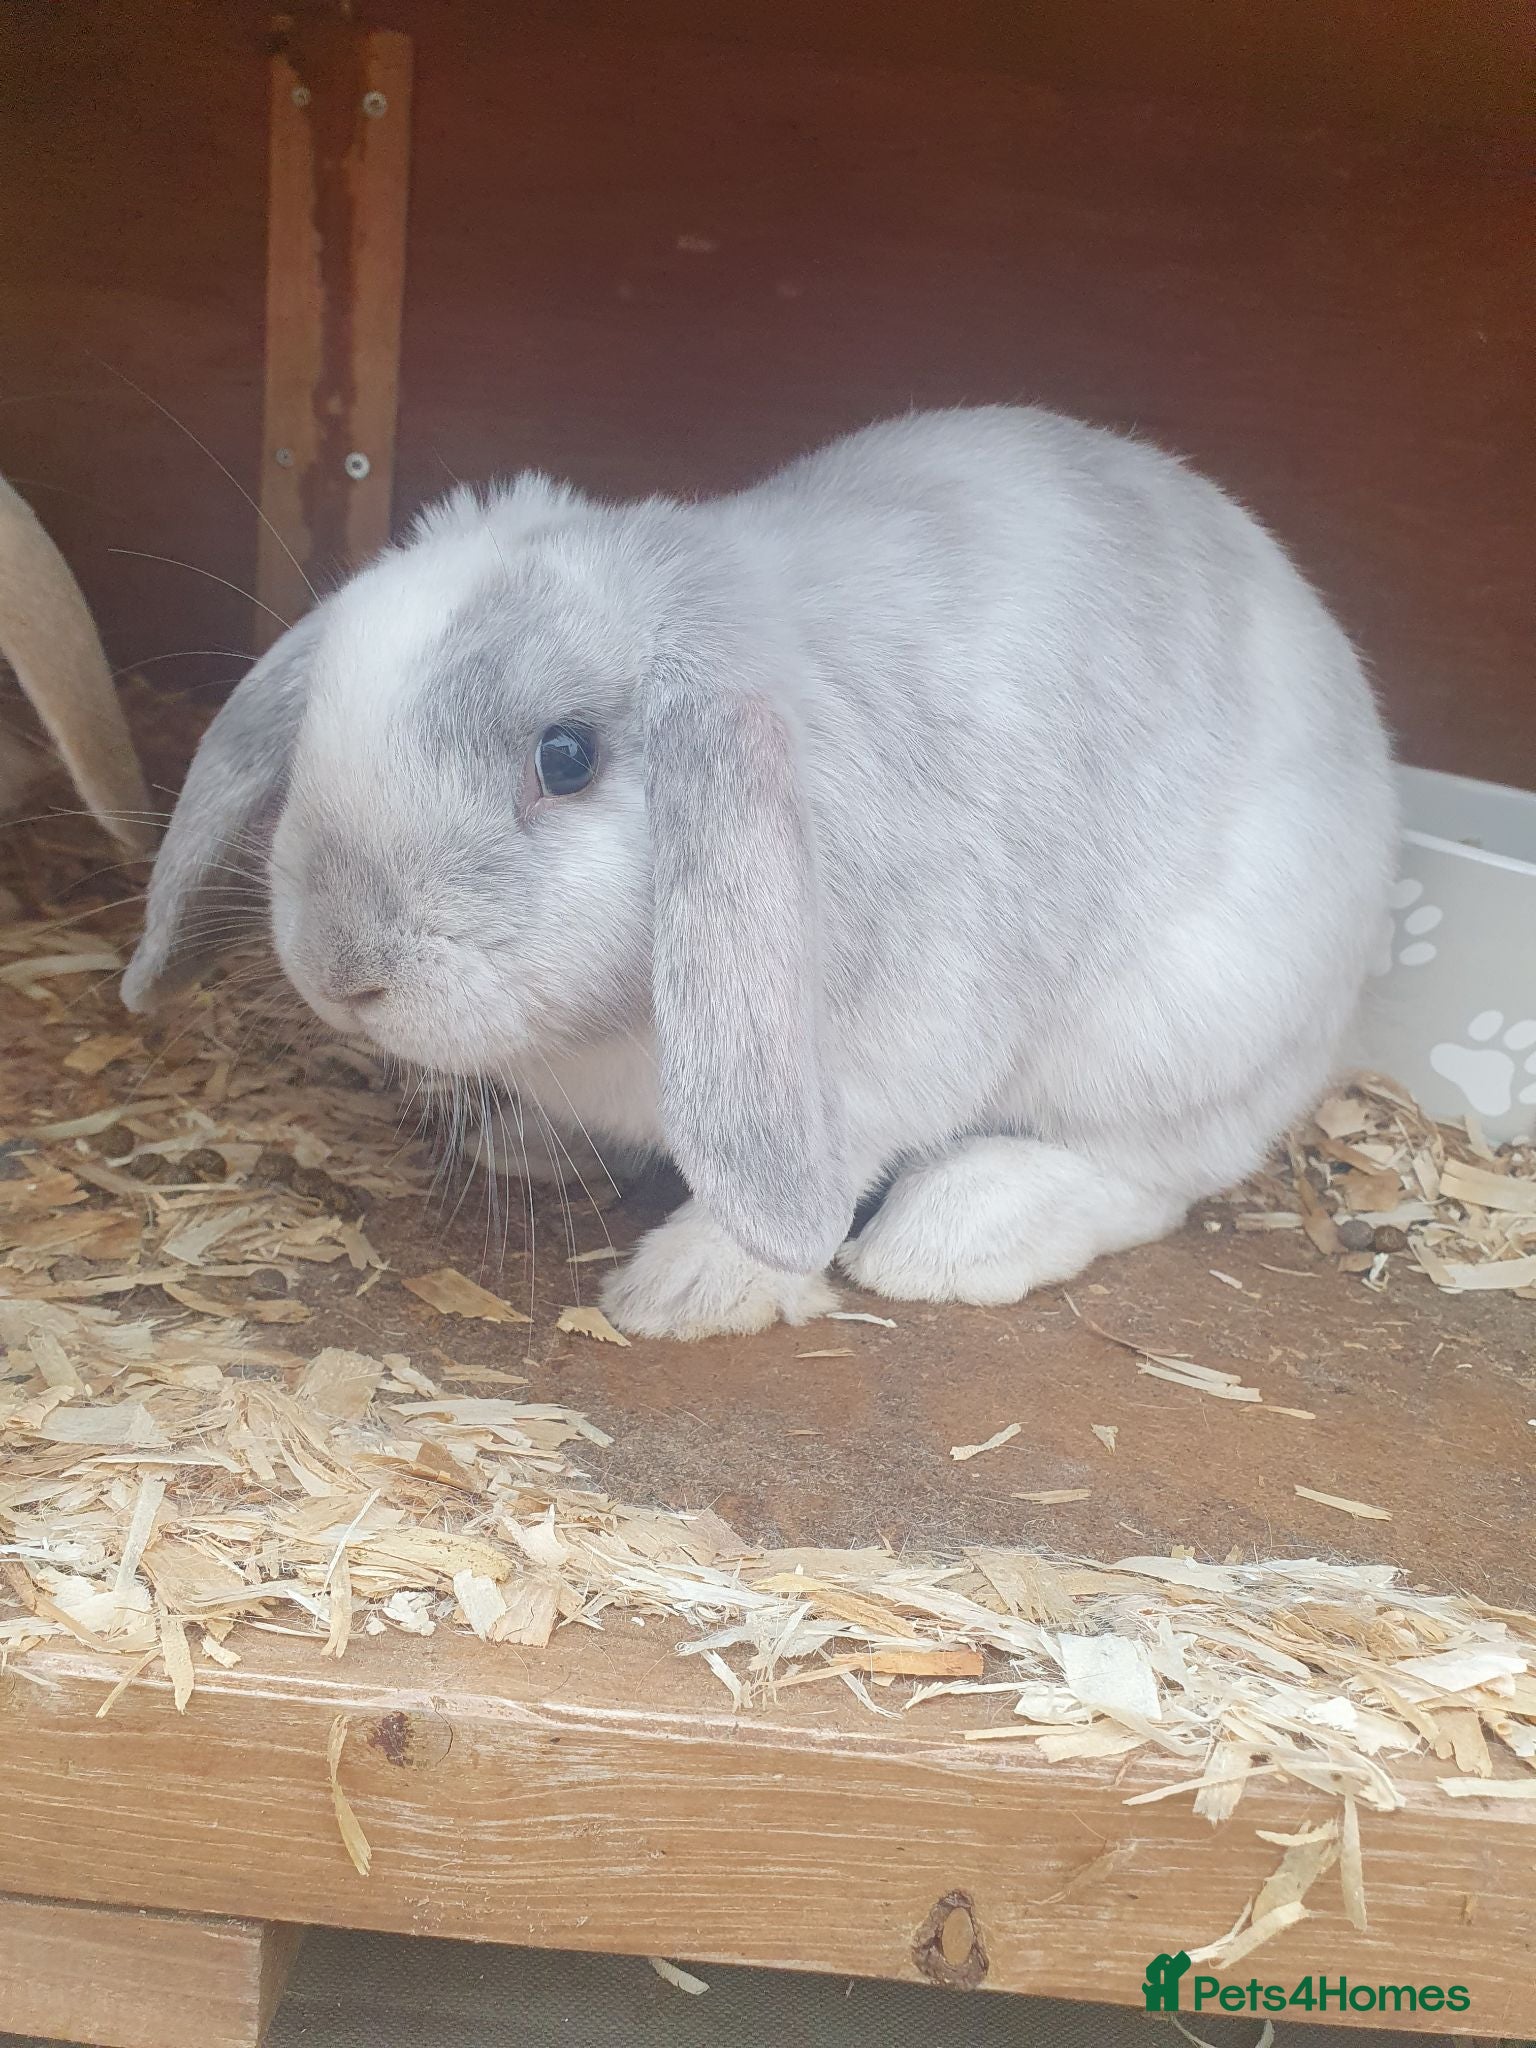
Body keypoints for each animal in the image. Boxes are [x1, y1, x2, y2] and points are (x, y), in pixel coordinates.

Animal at [122, 406, 1398, 1338]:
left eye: (566, 756)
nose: (341, 971)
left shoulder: (890, 1044)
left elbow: (824, 1165)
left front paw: (686, 1291)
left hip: (1176, 1025)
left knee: (1151, 1170)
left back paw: (947, 1239)